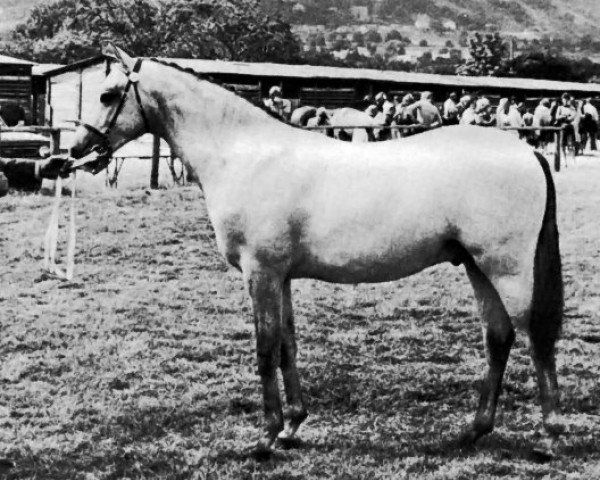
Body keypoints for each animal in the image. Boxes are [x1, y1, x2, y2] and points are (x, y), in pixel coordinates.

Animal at [70, 47, 564, 458]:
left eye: (108, 94)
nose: (77, 150)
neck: (247, 156)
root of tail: (528, 152)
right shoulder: (281, 277)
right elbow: (288, 344)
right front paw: (292, 426)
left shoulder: (261, 273)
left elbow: (265, 348)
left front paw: (266, 438)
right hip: (478, 268)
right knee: (498, 338)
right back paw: (474, 430)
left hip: (507, 270)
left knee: (535, 339)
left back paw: (549, 436)